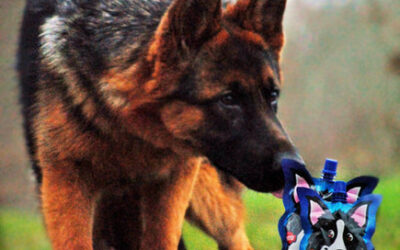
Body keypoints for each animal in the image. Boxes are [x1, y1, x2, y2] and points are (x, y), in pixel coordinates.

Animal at [18, 0, 300, 249]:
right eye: (228, 99)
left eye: (272, 96)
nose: (297, 168)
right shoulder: (66, 184)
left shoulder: (174, 181)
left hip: (208, 200)